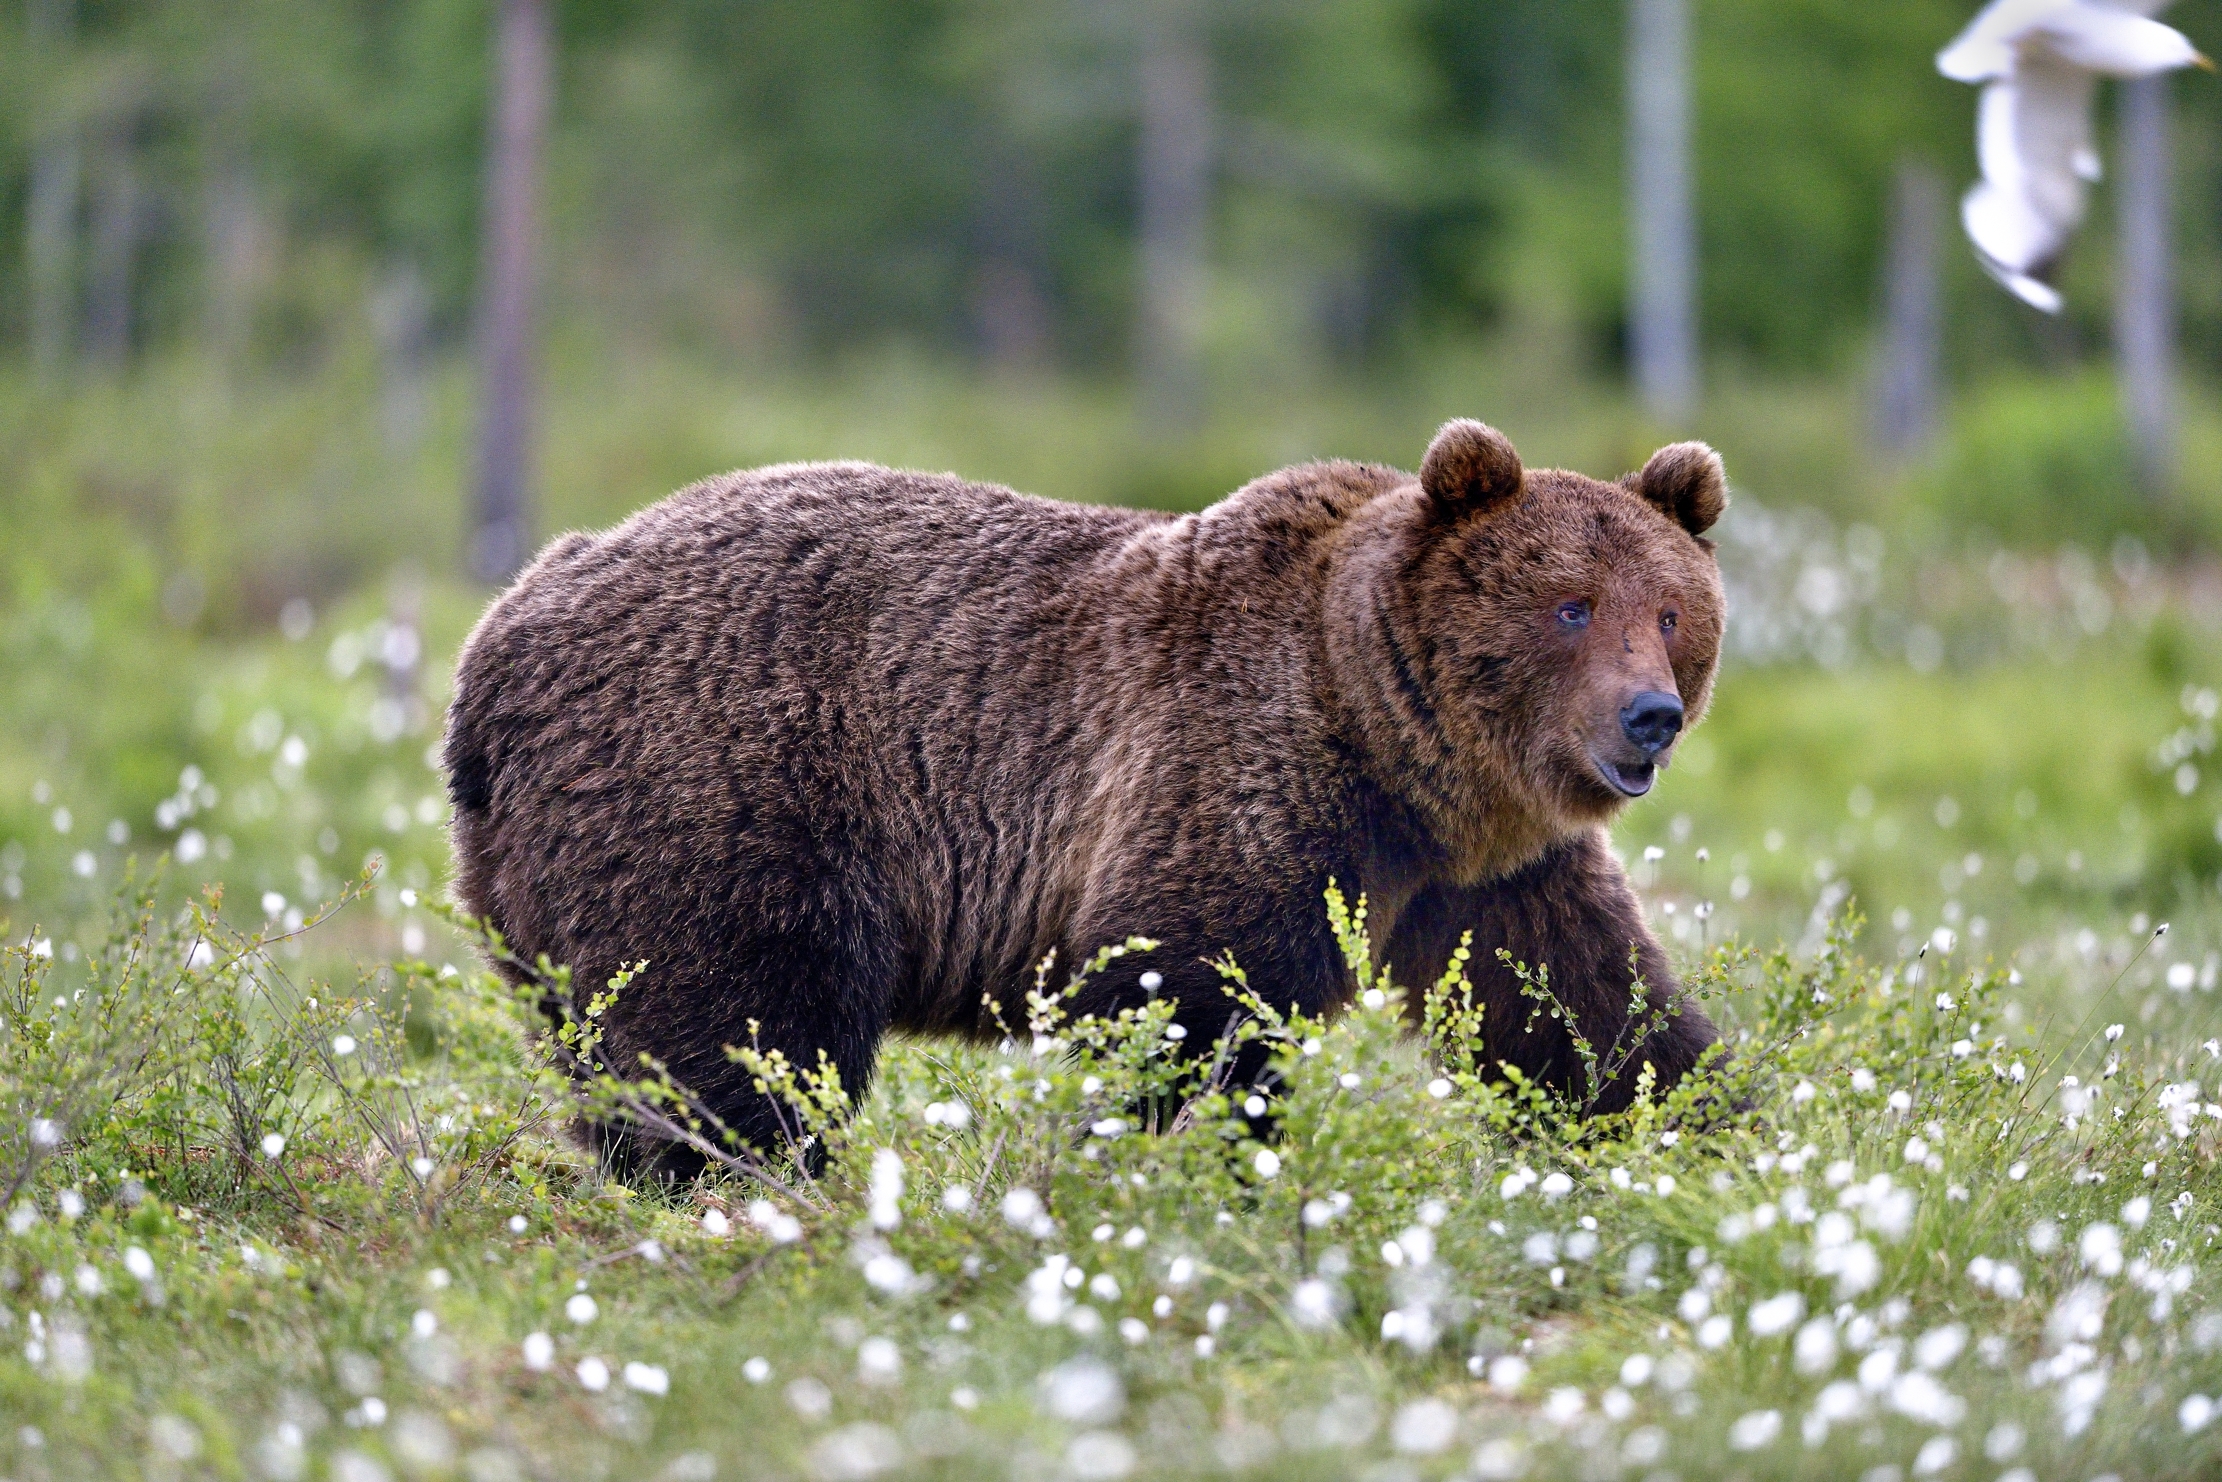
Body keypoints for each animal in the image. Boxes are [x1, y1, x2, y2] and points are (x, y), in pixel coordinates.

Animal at [443, 419, 1728, 1177]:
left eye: (1669, 611)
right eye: (1568, 605)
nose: (1646, 716)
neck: (1393, 745)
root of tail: (497, 636)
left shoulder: (1483, 869)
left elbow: (1574, 999)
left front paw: (1695, 1126)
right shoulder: (1234, 765)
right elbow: (1183, 988)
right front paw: (1166, 1160)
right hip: (719, 780)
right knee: (738, 1023)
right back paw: (740, 1177)